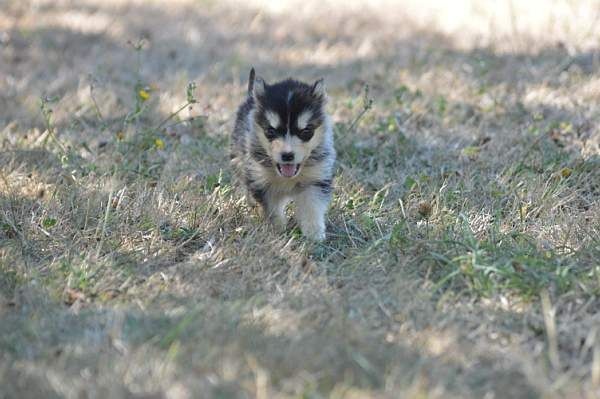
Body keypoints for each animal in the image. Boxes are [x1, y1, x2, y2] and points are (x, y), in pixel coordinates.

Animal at [230, 69, 336, 241]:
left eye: (306, 131)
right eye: (270, 131)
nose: (287, 155)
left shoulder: (316, 179)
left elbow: (312, 206)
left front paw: (314, 233)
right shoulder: (260, 180)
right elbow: (271, 209)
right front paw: (277, 230)